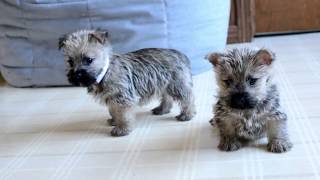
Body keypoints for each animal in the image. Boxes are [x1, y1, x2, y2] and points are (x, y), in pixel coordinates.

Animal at [58, 29, 196, 136]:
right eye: (70, 61)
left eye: (89, 60)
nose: (76, 75)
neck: (105, 71)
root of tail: (181, 54)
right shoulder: (113, 99)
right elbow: (114, 111)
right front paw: (114, 121)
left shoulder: (123, 98)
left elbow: (123, 115)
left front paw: (122, 129)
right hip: (163, 84)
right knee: (167, 97)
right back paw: (162, 109)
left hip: (177, 85)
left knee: (188, 99)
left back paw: (187, 115)